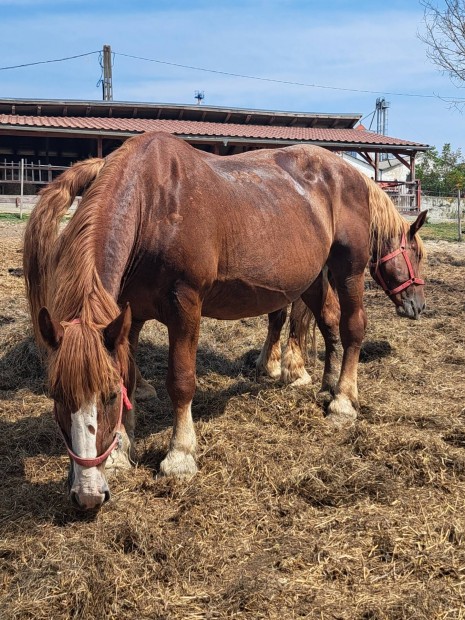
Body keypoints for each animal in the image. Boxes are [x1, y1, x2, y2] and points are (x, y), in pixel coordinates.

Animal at [24, 131, 424, 508]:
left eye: (107, 397)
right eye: (56, 394)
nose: (87, 495)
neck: (152, 203)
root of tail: (353, 174)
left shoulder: (185, 304)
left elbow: (181, 381)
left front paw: (179, 457)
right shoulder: (127, 315)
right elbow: (127, 374)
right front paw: (121, 453)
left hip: (349, 271)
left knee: (352, 327)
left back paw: (343, 401)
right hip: (312, 276)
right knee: (328, 323)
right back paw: (327, 385)